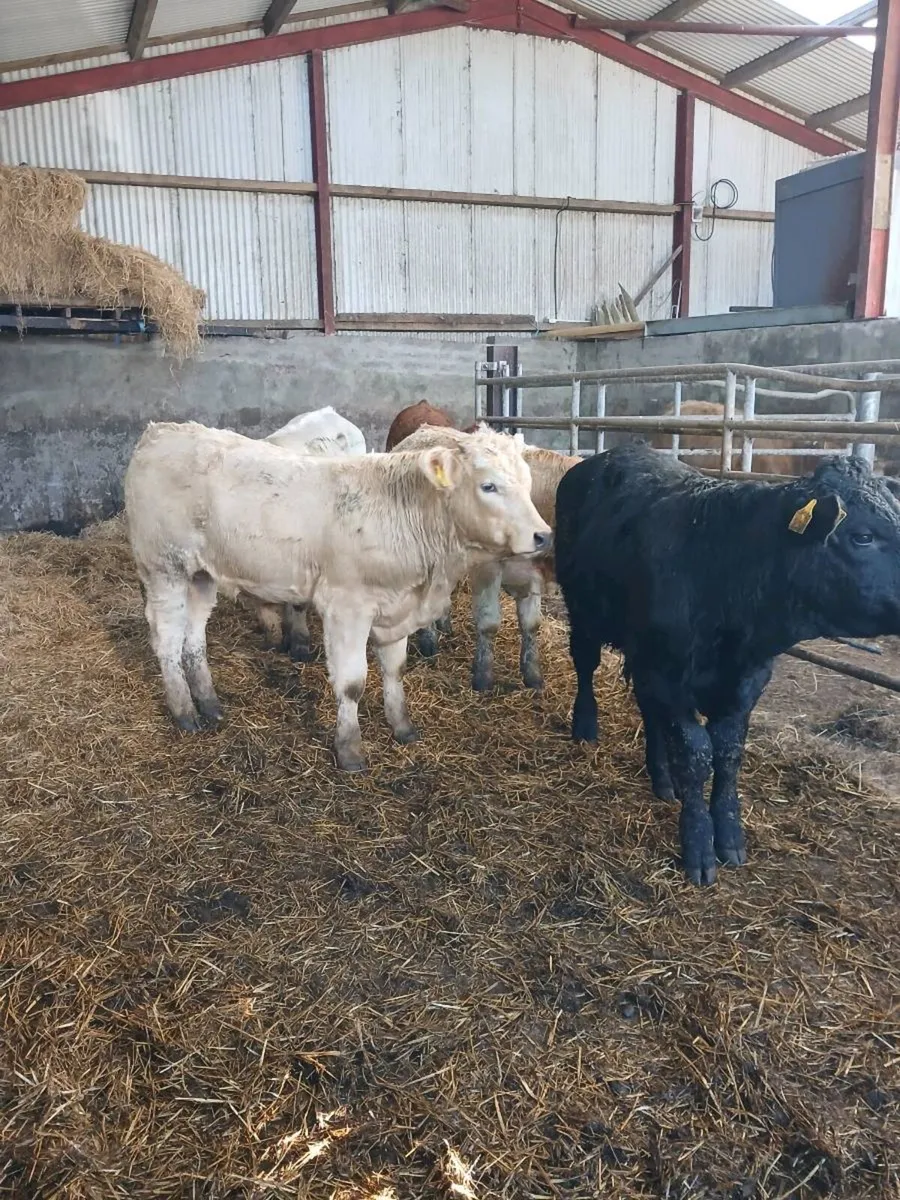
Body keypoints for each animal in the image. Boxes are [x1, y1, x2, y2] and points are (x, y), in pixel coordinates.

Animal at [392, 424, 578, 689]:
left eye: (527, 484)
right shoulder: (487, 570)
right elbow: (489, 622)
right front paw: (483, 676)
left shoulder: (531, 575)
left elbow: (532, 624)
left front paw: (533, 675)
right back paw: (428, 641)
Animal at [554, 440, 900, 886]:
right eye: (862, 537)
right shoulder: (668, 674)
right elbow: (698, 753)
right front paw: (699, 844)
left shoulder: (747, 680)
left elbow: (729, 752)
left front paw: (730, 834)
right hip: (583, 610)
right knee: (585, 663)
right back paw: (586, 726)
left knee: (649, 711)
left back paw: (661, 777)